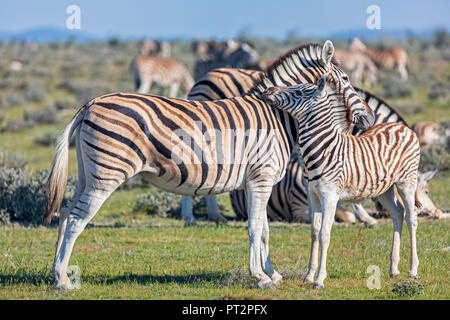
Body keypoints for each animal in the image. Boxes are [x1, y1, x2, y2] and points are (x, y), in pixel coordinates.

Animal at [42, 40, 374, 290]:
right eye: (347, 80)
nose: (369, 119)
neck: (279, 116)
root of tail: (89, 104)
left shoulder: (256, 181)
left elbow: (264, 229)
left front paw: (273, 273)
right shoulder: (262, 177)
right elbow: (255, 227)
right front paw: (260, 277)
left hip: (87, 174)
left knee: (65, 214)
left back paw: (57, 273)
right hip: (106, 175)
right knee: (76, 220)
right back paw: (64, 281)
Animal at [260, 75, 422, 290]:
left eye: (300, 91)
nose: (267, 91)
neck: (322, 149)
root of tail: (403, 127)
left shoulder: (330, 195)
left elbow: (325, 234)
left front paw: (320, 279)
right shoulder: (313, 194)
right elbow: (314, 232)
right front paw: (308, 275)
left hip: (406, 182)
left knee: (412, 218)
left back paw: (413, 270)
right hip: (384, 189)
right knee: (398, 213)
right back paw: (393, 268)